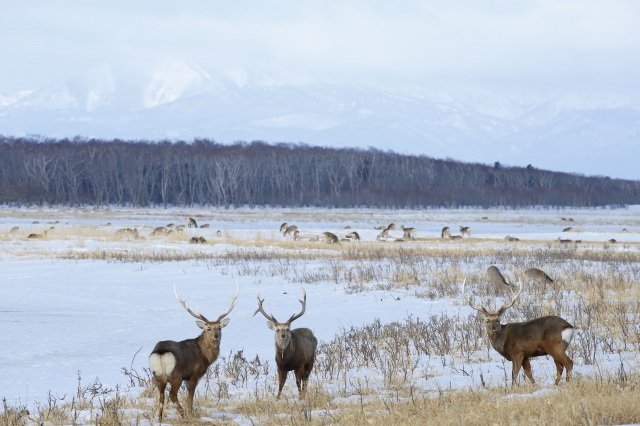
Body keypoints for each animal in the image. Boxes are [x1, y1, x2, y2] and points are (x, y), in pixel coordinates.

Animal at [149, 282, 239, 420]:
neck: (206, 357)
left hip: (157, 376)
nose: (216, 336)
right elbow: (190, 398)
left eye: (219, 327)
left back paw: (160, 418)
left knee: (161, 396)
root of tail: (161, 352)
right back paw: (183, 415)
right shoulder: (194, 374)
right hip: (176, 375)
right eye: (208, 328)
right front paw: (190, 413)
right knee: (172, 394)